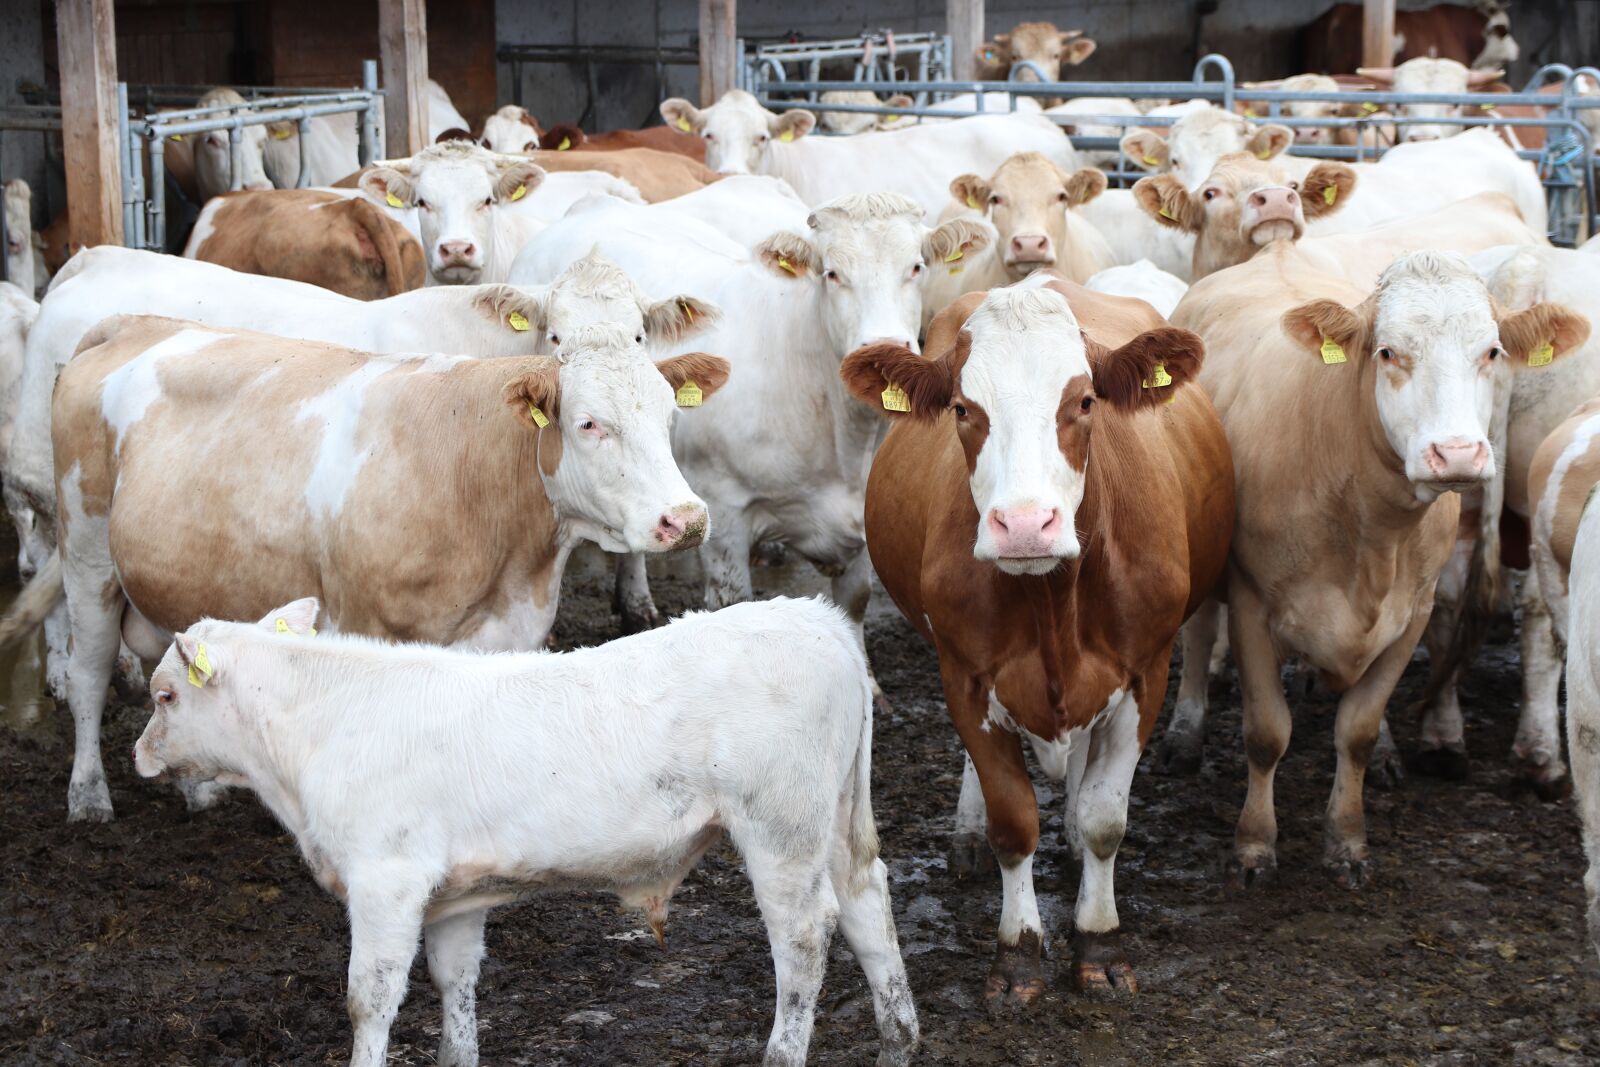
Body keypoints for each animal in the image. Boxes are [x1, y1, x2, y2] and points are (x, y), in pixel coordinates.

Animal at [4, 311, 727, 823]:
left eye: (669, 415)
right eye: (588, 423)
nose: (685, 518)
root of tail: (134, 324)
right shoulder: (371, 627)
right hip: (87, 551)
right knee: (90, 674)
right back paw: (88, 795)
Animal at [133, 595, 917, 1067]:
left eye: (165, 695)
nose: (140, 754)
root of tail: (814, 616)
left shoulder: (386, 879)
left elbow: (369, 996)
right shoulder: (452, 894)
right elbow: (454, 983)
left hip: (781, 826)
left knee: (805, 938)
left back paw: (784, 1051)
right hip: (835, 820)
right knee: (867, 903)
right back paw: (899, 1038)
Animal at [510, 184, 988, 676]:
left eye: (916, 266)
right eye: (832, 273)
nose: (883, 347)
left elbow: (853, 601)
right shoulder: (723, 513)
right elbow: (732, 601)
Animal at [839, 278, 1232, 1003]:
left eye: (1083, 402)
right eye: (963, 408)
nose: (1024, 525)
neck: (1053, 599)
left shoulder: (1146, 671)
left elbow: (1107, 817)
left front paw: (1099, 941)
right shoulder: (965, 676)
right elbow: (1013, 820)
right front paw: (1018, 952)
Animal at [1166, 247, 1583, 888]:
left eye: (1492, 351)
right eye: (1387, 351)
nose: (1457, 454)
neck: (1368, 531)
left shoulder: (1410, 613)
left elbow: (1357, 730)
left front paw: (1348, 840)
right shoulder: (1252, 605)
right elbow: (1266, 734)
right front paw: (1255, 845)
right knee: (1198, 631)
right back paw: (1185, 734)